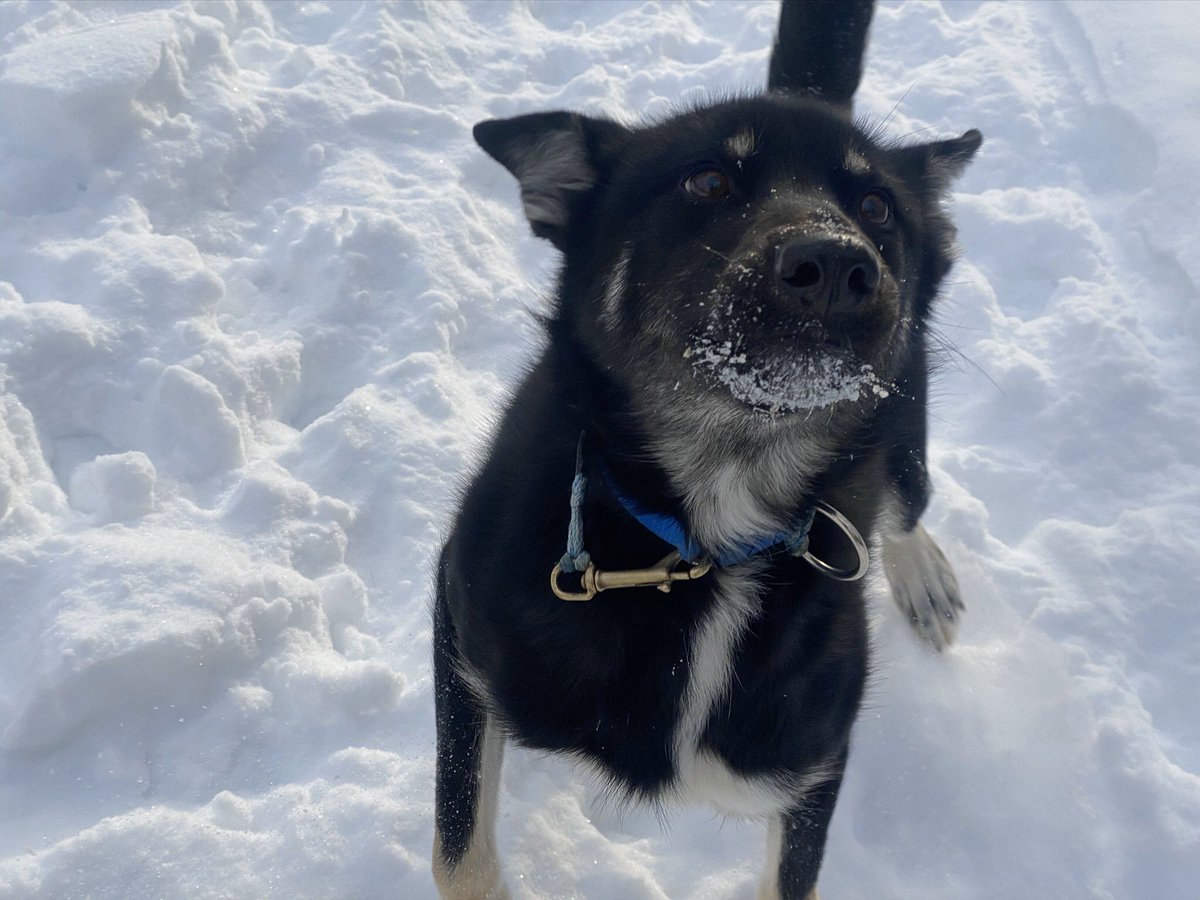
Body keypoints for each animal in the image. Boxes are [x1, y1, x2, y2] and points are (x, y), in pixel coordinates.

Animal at [436, 3, 979, 897]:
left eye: (875, 204)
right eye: (708, 182)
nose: (836, 261)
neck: (709, 535)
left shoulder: (813, 765)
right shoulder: (462, 639)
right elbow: (459, 852)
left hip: (904, 436)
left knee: (905, 504)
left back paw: (923, 574)